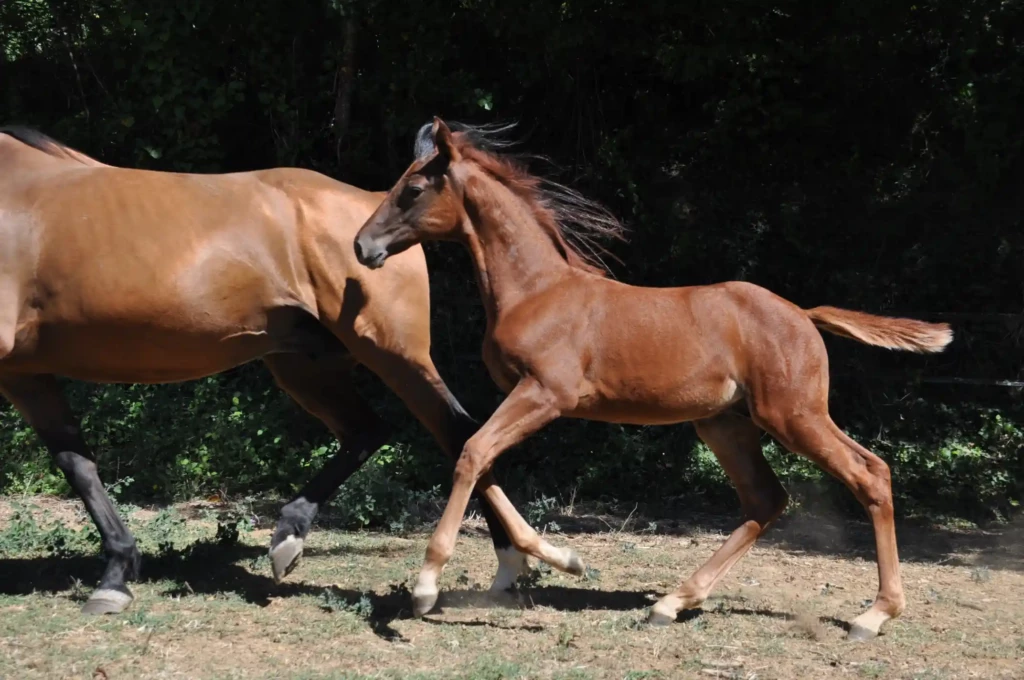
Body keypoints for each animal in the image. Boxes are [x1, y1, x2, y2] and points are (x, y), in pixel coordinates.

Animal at [0, 126, 571, 614]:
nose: (367, 247)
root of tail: (369, 204)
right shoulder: (23, 372)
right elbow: (77, 462)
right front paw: (116, 576)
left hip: (391, 353)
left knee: (456, 431)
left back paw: (502, 564)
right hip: (301, 365)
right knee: (370, 431)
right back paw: (289, 539)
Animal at [353, 118, 954, 640]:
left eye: (411, 189)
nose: (363, 246)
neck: (536, 289)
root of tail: (804, 315)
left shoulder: (546, 394)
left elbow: (472, 454)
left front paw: (426, 588)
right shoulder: (526, 398)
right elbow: (482, 461)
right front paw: (559, 560)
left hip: (792, 415)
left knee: (869, 474)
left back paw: (874, 614)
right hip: (725, 424)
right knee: (766, 499)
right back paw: (672, 602)